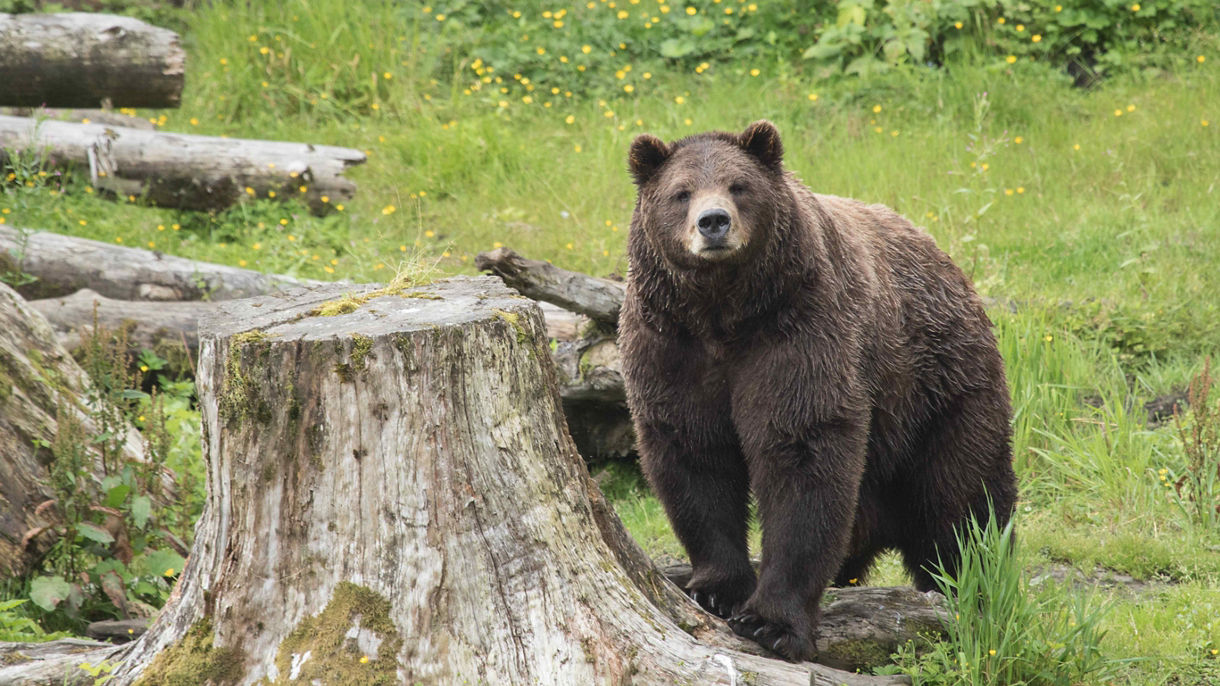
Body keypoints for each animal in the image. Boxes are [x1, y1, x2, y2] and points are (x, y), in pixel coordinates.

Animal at [618, 120, 1017, 662]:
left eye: (738, 186)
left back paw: (977, 583)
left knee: (963, 502)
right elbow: (694, 458)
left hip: (940, 391)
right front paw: (716, 589)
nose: (713, 222)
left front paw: (771, 621)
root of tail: (947, 262)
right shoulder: (671, 346)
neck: (723, 314)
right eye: (681, 192)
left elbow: (801, 454)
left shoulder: (797, 331)